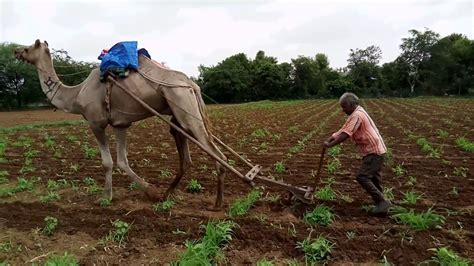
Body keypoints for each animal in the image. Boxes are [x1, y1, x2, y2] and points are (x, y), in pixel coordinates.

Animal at [13, 39, 229, 210]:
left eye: (28, 47)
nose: (15, 50)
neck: (75, 95)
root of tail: (192, 85)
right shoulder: (120, 124)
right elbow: (122, 161)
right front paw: (152, 192)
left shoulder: (96, 123)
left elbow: (108, 162)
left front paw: (106, 197)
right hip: (180, 112)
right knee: (187, 154)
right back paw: (167, 195)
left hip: (183, 105)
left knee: (217, 154)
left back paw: (217, 204)